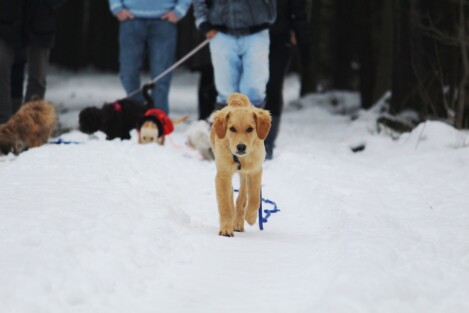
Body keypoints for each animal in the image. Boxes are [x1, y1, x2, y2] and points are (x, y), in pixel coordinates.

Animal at [211, 92, 272, 236]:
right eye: (232, 129)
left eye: (250, 129)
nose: (241, 147)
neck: (239, 158)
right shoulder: (222, 175)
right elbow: (225, 204)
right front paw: (226, 228)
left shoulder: (255, 171)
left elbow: (255, 198)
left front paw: (251, 217)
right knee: (232, 192)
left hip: (245, 175)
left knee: (242, 198)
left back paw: (239, 222)